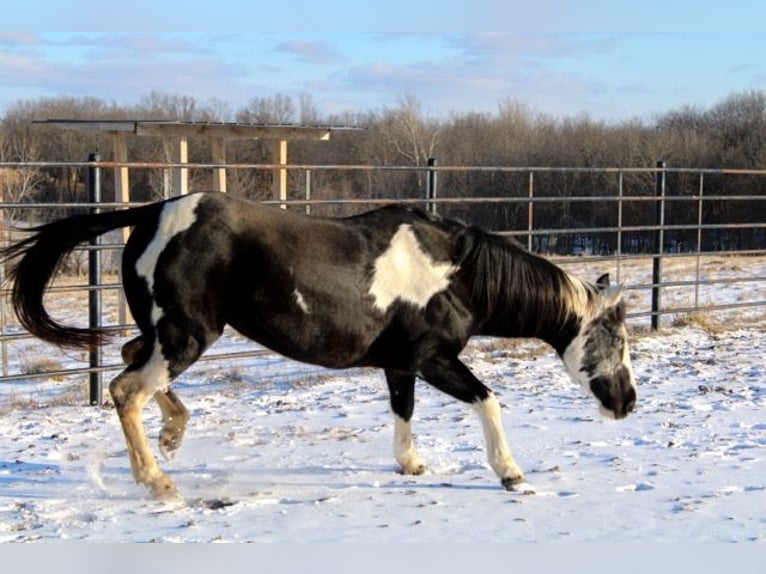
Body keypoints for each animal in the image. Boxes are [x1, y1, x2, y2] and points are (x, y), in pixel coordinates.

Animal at [0, 194, 636, 500]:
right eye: (617, 338)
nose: (627, 403)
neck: (459, 273)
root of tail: (153, 212)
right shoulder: (434, 359)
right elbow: (488, 399)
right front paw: (512, 474)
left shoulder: (401, 364)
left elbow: (402, 410)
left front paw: (410, 464)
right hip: (187, 336)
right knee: (125, 388)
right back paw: (157, 483)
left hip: (170, 333)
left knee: (131, 361)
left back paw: (173, 437)